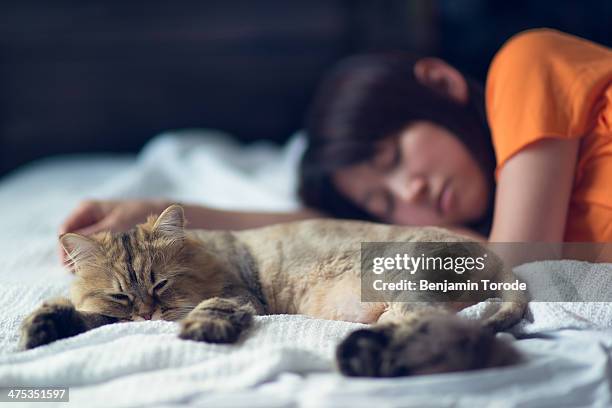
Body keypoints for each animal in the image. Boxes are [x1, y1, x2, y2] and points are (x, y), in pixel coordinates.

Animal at [20, 204, 524, 376]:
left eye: (161, 284)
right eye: (122, 295)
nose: (146, 315)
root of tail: (495, 258)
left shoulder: (238, 294)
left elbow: (212, 309)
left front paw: (200, 329)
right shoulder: (108, 313)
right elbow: (88, 317)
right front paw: (43, 326)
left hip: (406, 284)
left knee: (444, 330)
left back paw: (365, 354)